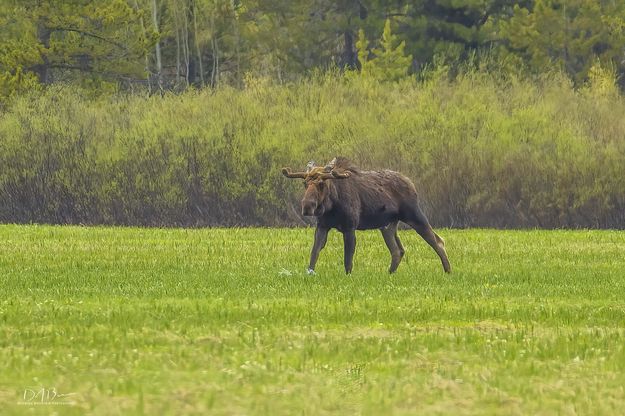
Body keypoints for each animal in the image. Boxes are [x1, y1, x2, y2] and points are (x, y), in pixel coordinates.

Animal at [282, 158, 448, 274]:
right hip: (387, 225)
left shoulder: (350, 227)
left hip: (414, 214)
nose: (307, 206)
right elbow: (314, 253)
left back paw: (448, 271)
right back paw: (389, 273)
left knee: (437, 241)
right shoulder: (322, 226)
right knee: (398, 250)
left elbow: (348, 260)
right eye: (305, 183)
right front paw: (310, 272)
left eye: (322, 183)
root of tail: (411, 183)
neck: (331, 205)